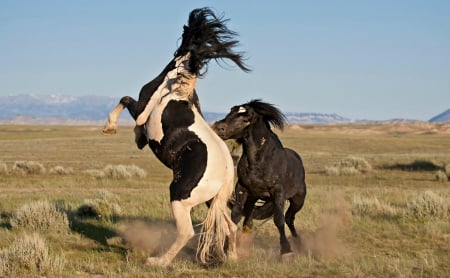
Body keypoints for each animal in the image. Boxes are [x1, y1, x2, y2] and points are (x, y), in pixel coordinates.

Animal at [103, 7, 250, 266]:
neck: (176, 86)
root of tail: (225, 171)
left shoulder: (142, 108)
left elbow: (126, 100)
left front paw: (112, 128)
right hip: (213, 200)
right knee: (229, 226)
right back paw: (230, 257)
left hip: (179, 196)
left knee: (187, 232)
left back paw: (158, 261)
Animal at [214, 99, 306, 258]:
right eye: (231, 111)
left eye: (246, 119)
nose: (219, 128)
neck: (260, 161)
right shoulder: (242, 188)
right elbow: (236, 216)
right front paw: (228, 247)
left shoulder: (277, 191)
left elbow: (279, 219)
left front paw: (286, 251)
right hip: (253, 198)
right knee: (248, 220)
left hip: (298, 200)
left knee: (289, 218)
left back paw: (298, 244)